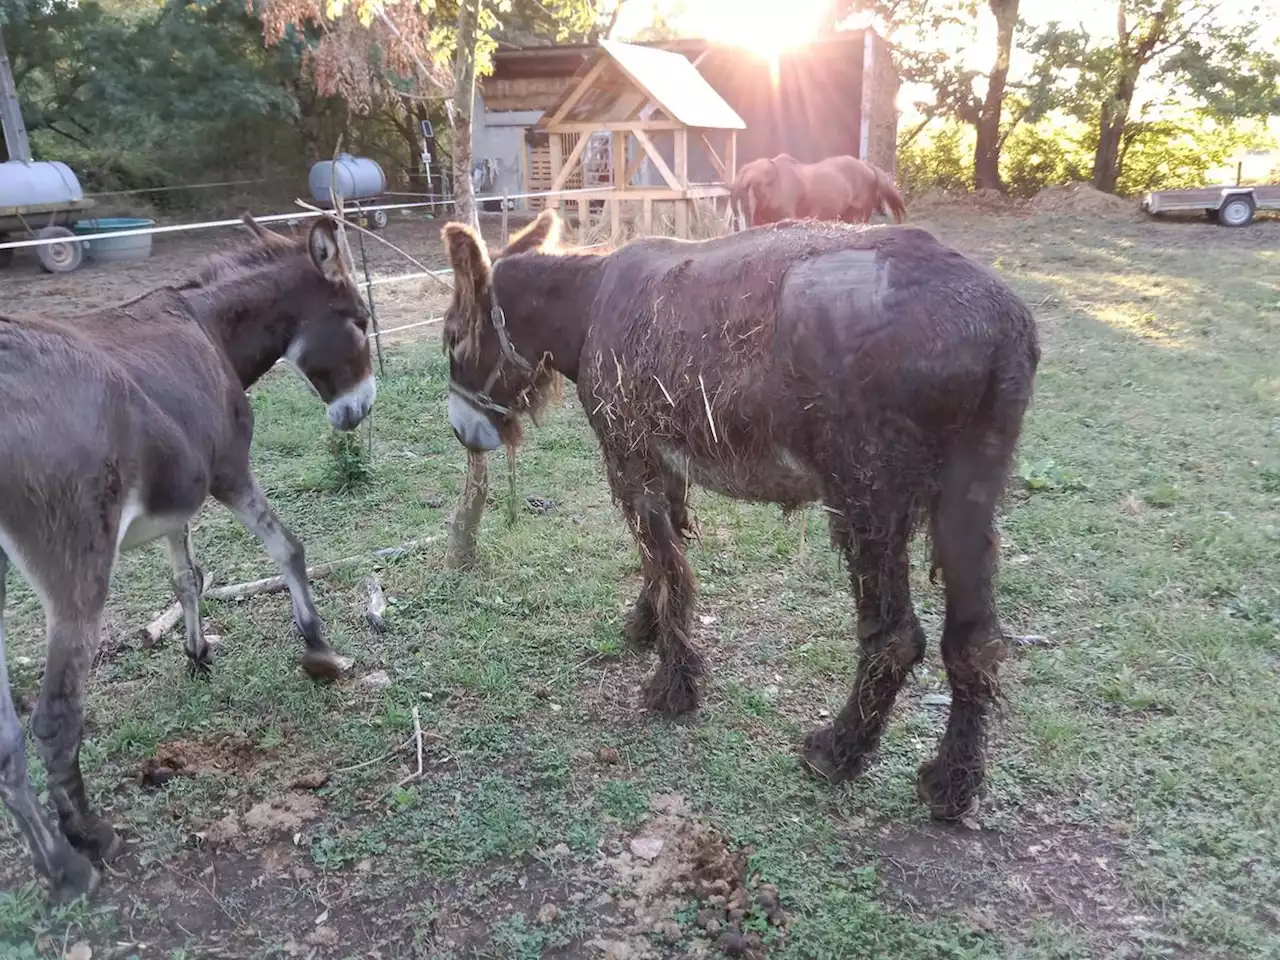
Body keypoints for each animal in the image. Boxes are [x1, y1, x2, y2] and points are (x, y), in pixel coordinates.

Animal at [0, 213, 376, 906]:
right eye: (359, 320)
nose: (359, 411)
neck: (207, 327)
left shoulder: (178, 502)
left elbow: (187, 576)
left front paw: (197, 654)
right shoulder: (228, 471)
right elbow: (288, 546)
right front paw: (319, 649)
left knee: (11, 735)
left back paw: (56, 855)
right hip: (75, 571)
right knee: (55, 719)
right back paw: (79, 851)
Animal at [440, 212, 1039, 829]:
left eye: (452, 339)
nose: (462, 432)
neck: (588, 303)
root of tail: (1002, 324)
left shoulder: (629, 459)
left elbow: (667, 567)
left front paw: (674, 685)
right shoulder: (663, 462)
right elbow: (661, 563)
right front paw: (646, 626)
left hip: (868, 499)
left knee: (896, 638)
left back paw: (840, 749)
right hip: (966, 498)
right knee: (974, 641)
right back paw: (952, 782)